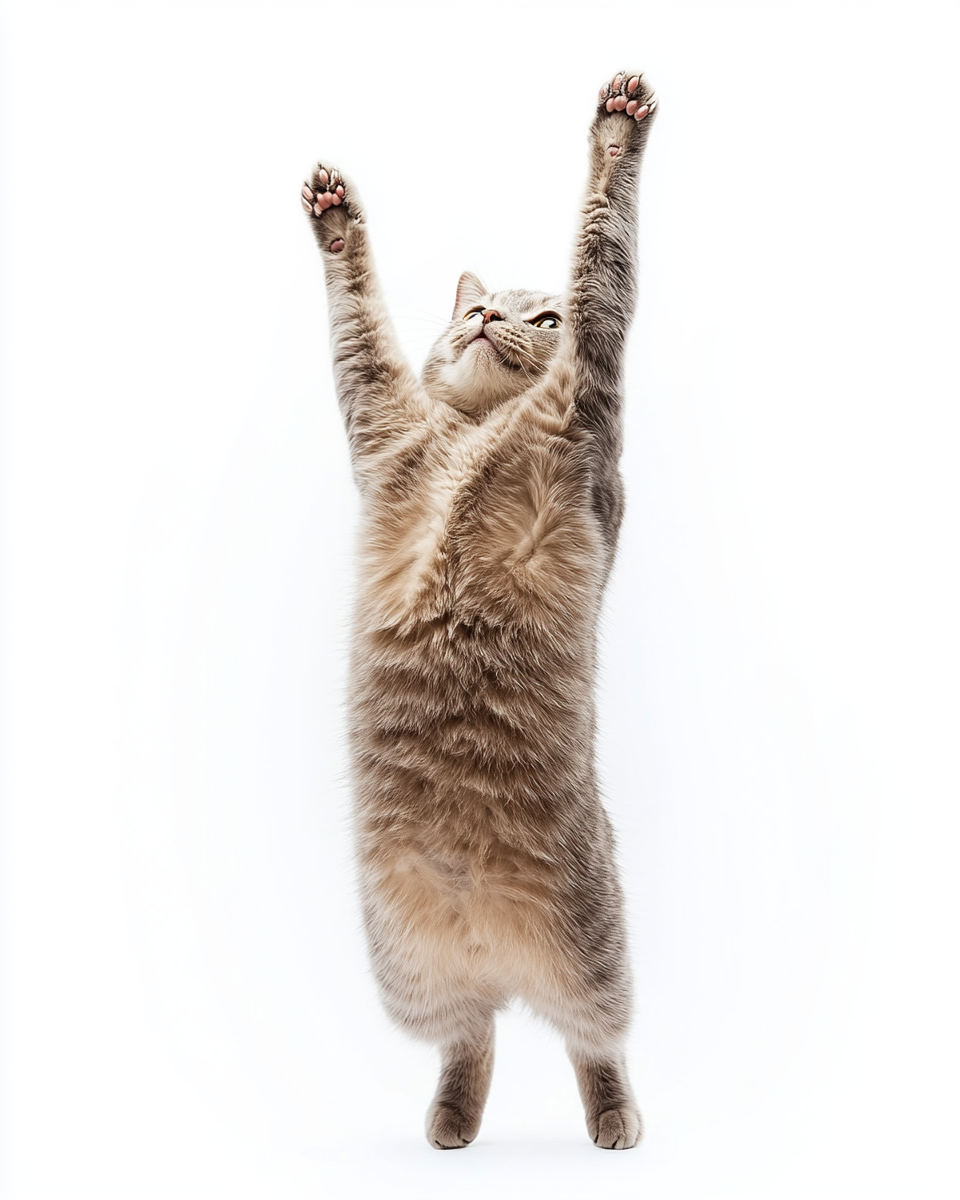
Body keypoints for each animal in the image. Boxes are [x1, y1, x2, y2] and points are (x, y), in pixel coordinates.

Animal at [302, 68, 662, 1152]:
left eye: (537, 317)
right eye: (480, 307)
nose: (480, 320)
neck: (474, 431)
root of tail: (489, 937)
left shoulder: (589, 388)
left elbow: (602, 256)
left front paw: (616, 135)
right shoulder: (380, 415)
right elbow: (359, 324)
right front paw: (336, 219)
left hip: (593, 948)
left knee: (593, 1043)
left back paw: (615, 1119)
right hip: (410, 970)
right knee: (475, 1037)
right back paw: (450, 1120)